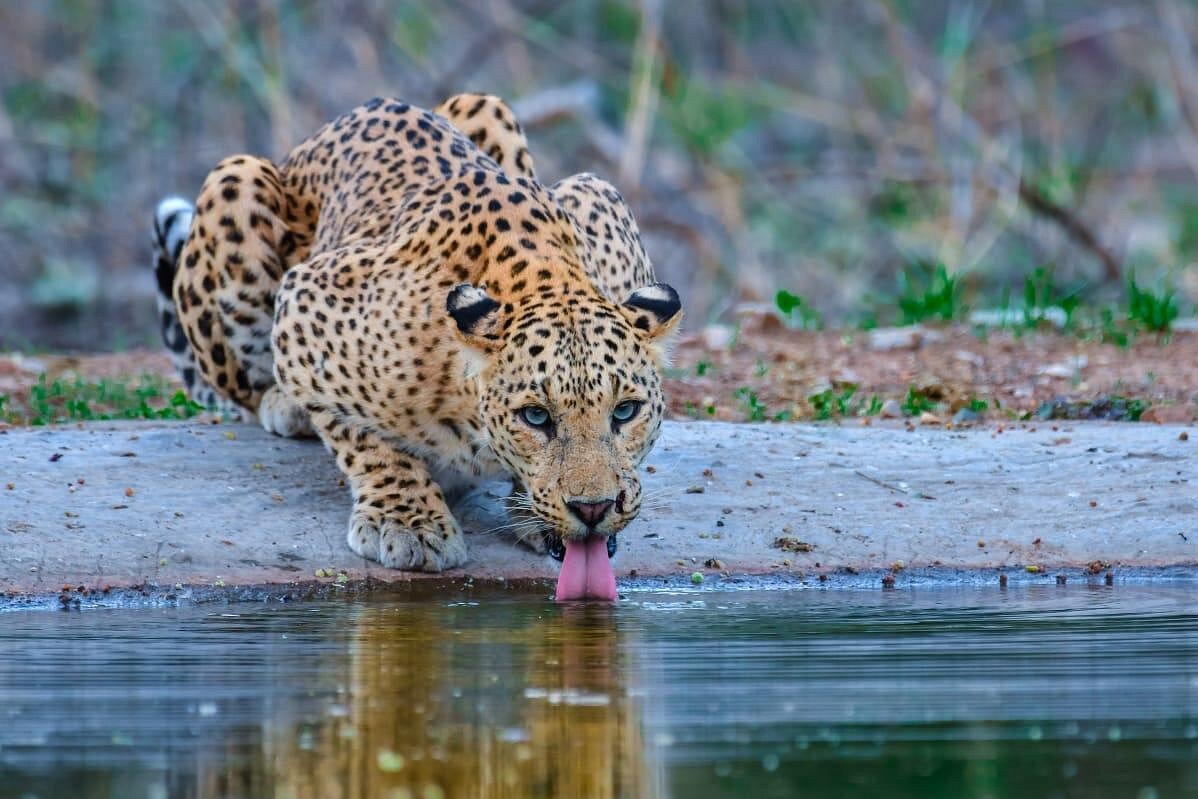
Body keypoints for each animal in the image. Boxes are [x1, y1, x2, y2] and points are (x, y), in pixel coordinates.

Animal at [150, 94, 680, 582]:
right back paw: (283, 405)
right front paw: (407, 522)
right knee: (249, 387)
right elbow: (359, 433)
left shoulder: (599, 195)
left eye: (625, 411)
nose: (593, 509)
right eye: (535, 417)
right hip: (235, 180)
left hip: (486, 105)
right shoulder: (307, 298)